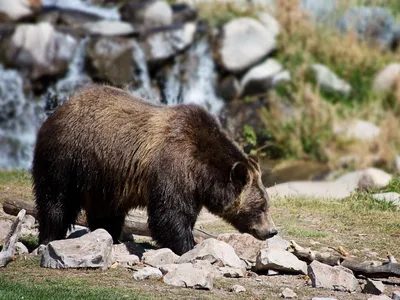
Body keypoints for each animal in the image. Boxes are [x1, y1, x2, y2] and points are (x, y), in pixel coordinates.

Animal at [32, 84, 278, 255]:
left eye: (266, 204)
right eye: (260, 207)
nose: (272, 231)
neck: (202, 171)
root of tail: (59, 109)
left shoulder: (192, 187)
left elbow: (183, 214)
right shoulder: (173, 167)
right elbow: (169, 214)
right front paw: (187, 246)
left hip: (103, 177)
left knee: (105, 211)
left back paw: (110, 236)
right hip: (68, 157)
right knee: (57, 200)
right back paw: (49, 237)